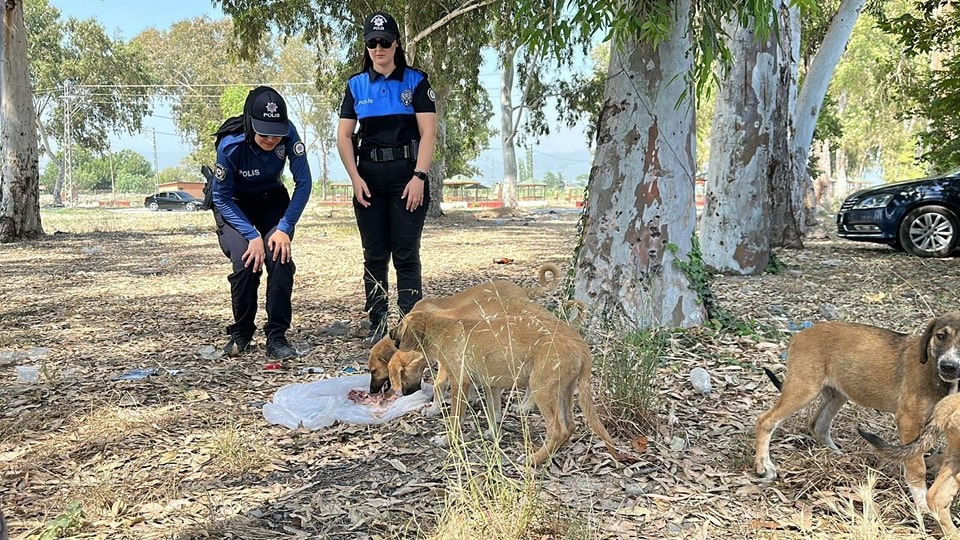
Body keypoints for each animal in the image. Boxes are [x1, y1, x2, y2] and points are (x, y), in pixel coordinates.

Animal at [752, 314, 960, 508]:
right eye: (941, 336)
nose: (949, 366)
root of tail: (801, 334)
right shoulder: (909, 420)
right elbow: (917, 466)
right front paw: (922, 504)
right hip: (804, 388)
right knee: (765, 420)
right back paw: (763, 466)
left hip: (836, 395)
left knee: (818, 425)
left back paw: (840, 457)